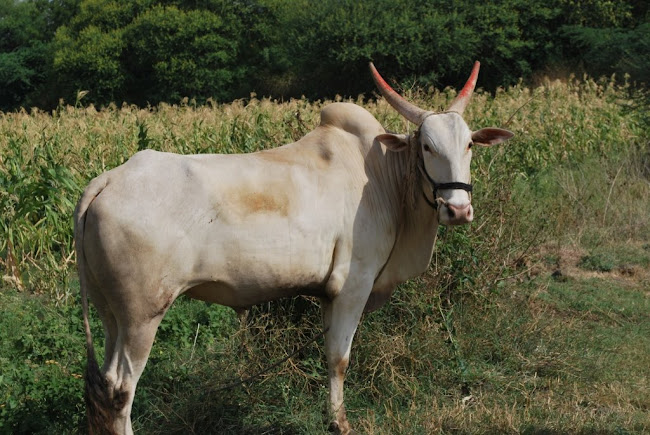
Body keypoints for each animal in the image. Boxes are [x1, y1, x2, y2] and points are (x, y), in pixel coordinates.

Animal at [74, 61, 513, 434]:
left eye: (469, 145)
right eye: (426, 146)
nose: (458, 209)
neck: (381, 177)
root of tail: (110, 179)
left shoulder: (327, 294)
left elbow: (328, 355)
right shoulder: (353, 285)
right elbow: (339, 358)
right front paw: (341, 423)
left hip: (112, 314)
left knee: (102, 388)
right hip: (142, 316)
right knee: (120, 390)